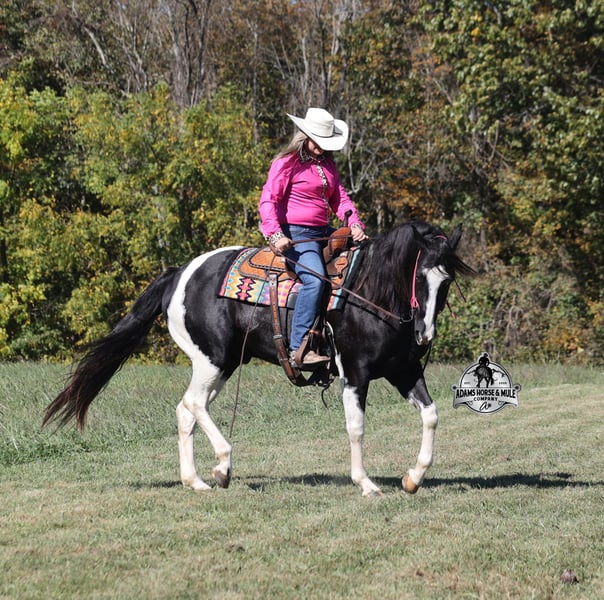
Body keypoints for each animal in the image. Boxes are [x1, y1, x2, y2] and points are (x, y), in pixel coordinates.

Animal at [43, 221, 475, 497]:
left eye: (447, 281)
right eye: (418, 275)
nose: (425, 334)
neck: (370, 293)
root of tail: (180, 273)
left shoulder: (404, 371)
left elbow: (431, 415)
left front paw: (413, 478)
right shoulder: (355, 373)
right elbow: (356, 428)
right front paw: (365, 483)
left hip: (223, 365)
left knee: (186, 410)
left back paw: (196, 481)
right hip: (212, 359)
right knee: (194, 404)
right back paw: (222, 466)